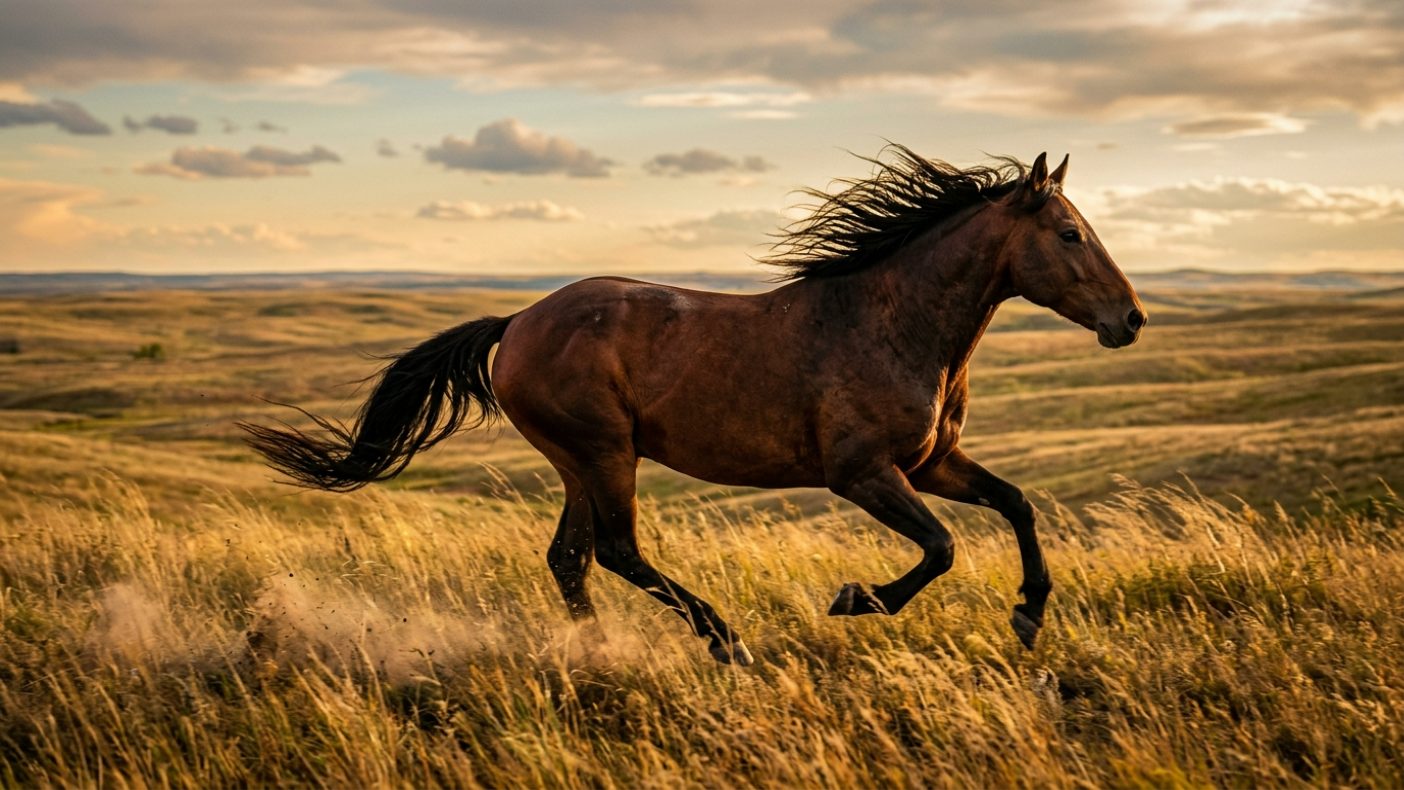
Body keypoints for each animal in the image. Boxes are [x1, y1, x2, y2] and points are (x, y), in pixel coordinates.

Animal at [241, 147, 1147, 666]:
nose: (1131, 319)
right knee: (615, 552)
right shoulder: (863, 474)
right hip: (605, 454)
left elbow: (1017, 505)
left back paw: (601, 649)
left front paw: (1028, 615)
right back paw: (723, 638)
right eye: (1070, 234)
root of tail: (518, 322)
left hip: (581, 463)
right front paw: (857, 600)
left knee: (571, 559)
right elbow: (943, 548)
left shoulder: (933, 463)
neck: (893, 323)